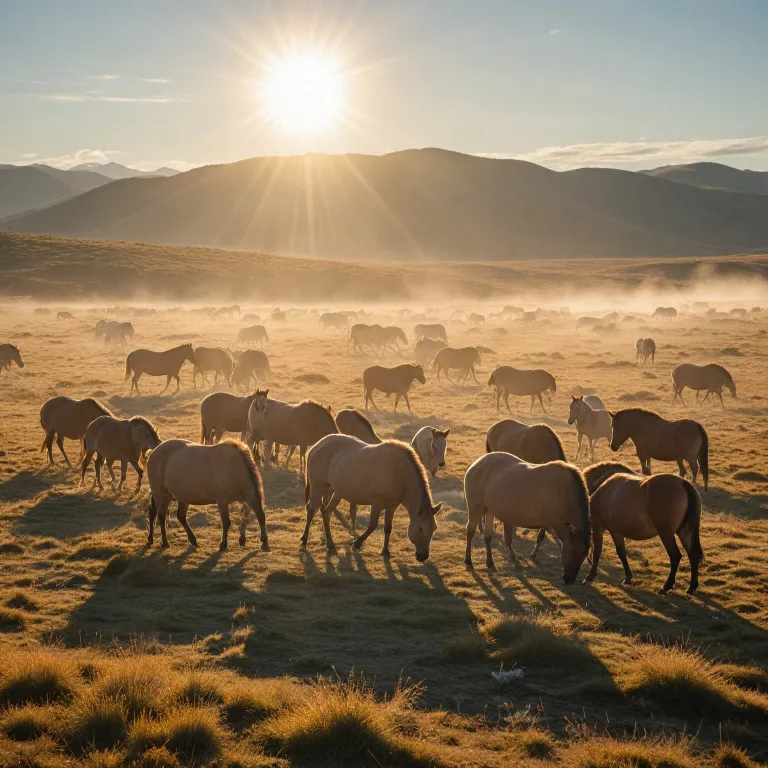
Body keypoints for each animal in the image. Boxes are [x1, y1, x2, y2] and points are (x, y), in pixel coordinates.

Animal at [302, 434, 441, 561]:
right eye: (420, 528)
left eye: (434, 529)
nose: (423, 556)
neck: (399, 472)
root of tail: (316, 446)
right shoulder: (377, 504)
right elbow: (372, 526)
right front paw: (357, 544)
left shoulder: (392, 506)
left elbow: (388, 528)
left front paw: (385, 551)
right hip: (318, 489)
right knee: (311, 509)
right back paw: (304, 539)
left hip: (335, 491)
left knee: (326, 512)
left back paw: (330, 544)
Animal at [463, 452, 590, 582]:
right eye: (572, 550)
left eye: (584, 554)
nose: (569, 579)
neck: (564, 491)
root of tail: (475, 464)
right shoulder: (555, 524)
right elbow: (557, 541)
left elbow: (542, 537)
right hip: (475, 510)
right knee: (470, 531)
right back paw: (468, 561)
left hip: (490, 511)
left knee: (487, 537)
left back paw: (490, 563)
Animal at [583, 462, 704, 594]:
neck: (601, 484)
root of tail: (685, 485)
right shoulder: (617, 532)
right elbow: (622, 553)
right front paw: (628, 577)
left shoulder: (599, 527)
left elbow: (598, 552)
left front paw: (590, 576)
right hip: (685, 531)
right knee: (693, 554)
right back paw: (692, 587)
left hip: (666, 534)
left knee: (675, 556)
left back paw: (666, 586)